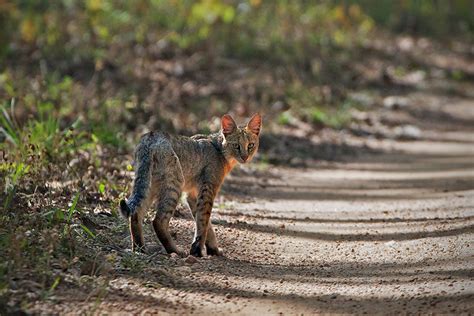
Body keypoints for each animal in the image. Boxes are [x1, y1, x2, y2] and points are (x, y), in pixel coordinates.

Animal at [117, 113, 260, 256]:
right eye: (236, 145)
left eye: (251, 145)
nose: (245, 157)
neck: (220, 150)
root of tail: (150, 136)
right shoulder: (208, 188)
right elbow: (203, 220)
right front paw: (197, 250)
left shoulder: (192, 194)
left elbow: (205, 223)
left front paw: (212, 249)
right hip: (175, 184)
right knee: (158, 221)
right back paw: (175, 250)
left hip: (148, 184)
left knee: (136, 214)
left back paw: (139, 249)